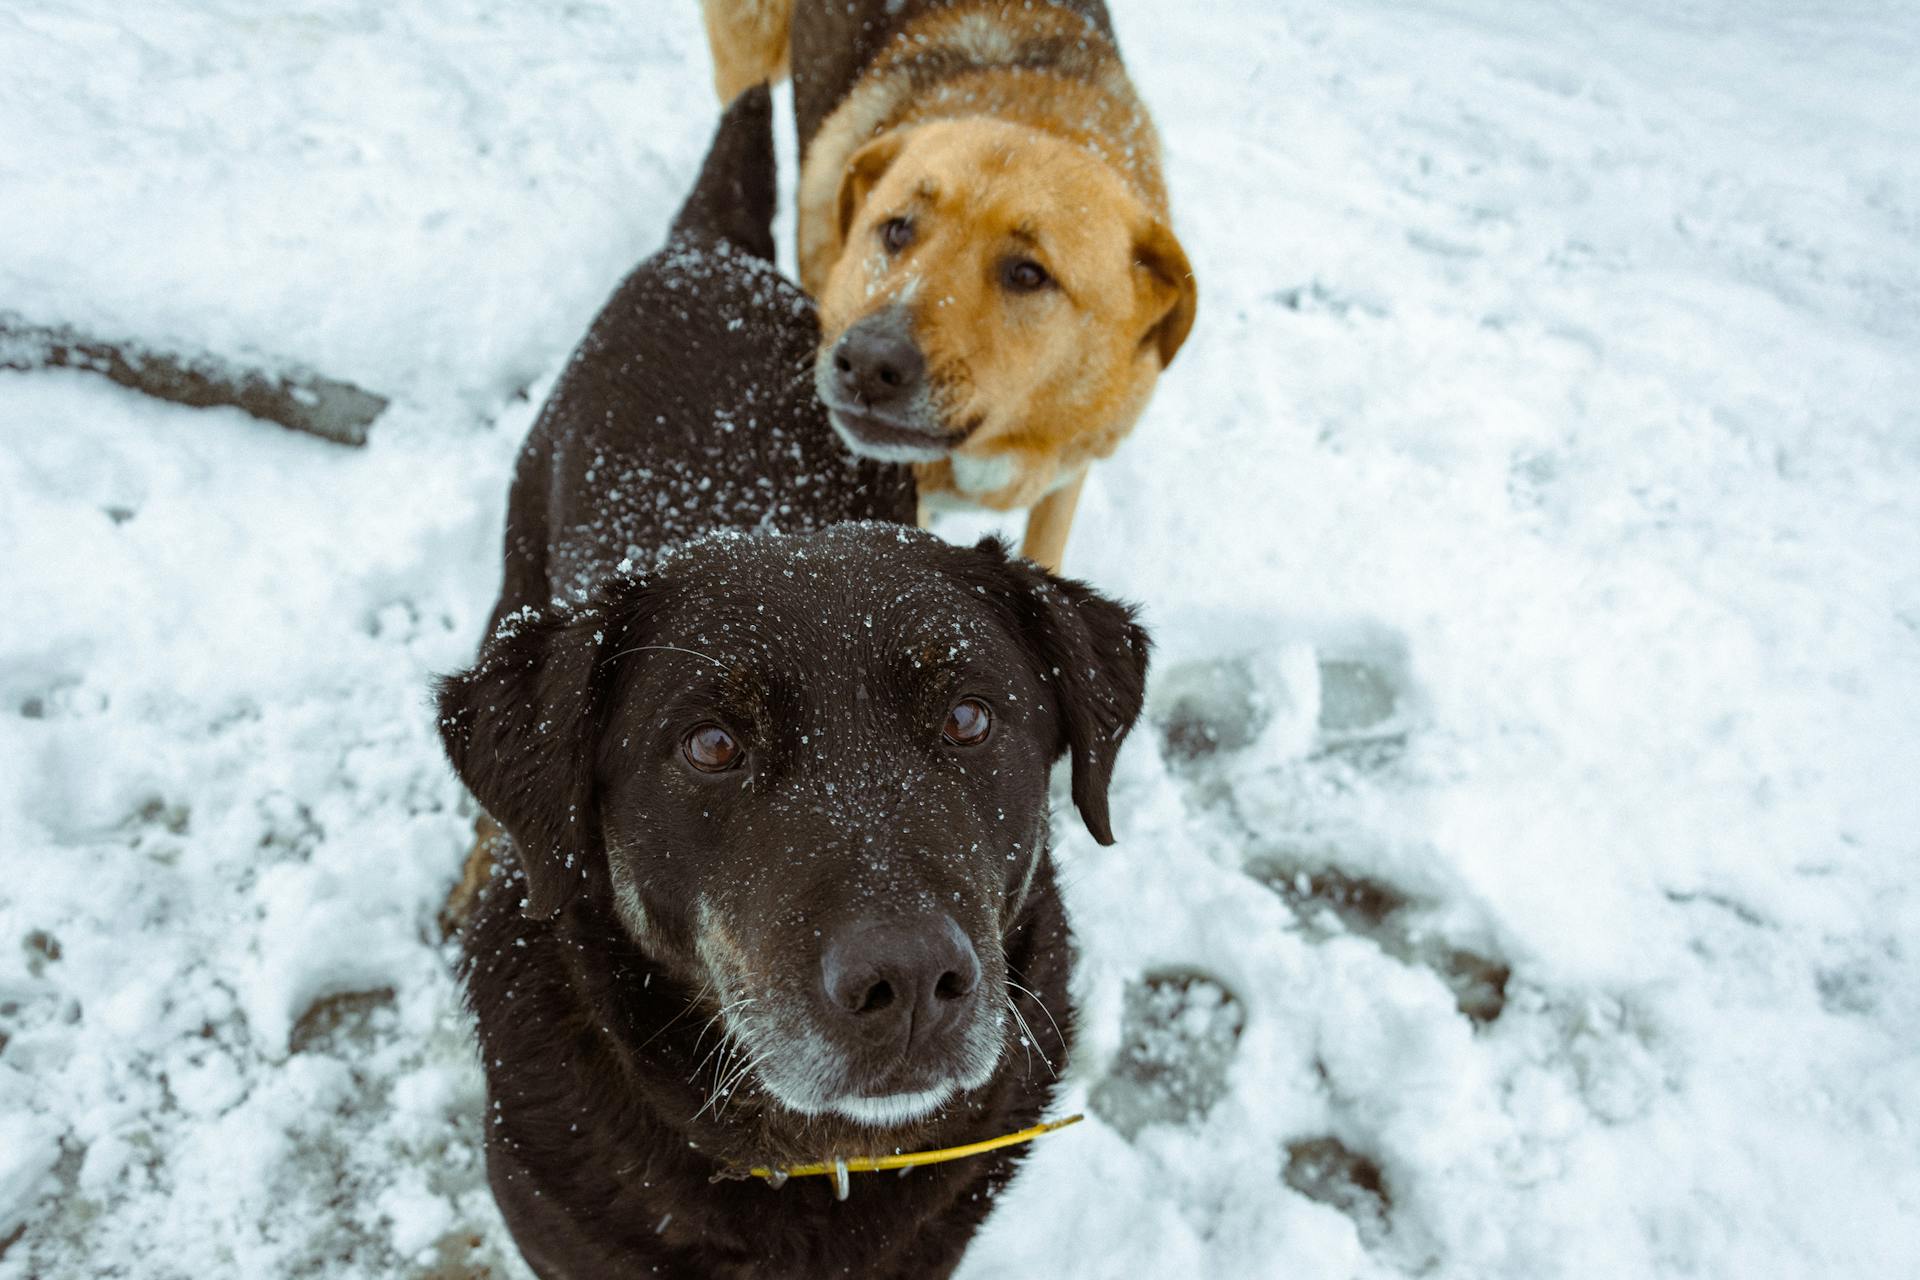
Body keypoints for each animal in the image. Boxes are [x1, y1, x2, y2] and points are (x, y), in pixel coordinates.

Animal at [439, 90, 1136, 1280]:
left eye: (968, 717)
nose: (909, 980)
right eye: (711, 744)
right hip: (518, 563)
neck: (813, 1157)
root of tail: (707, 252)